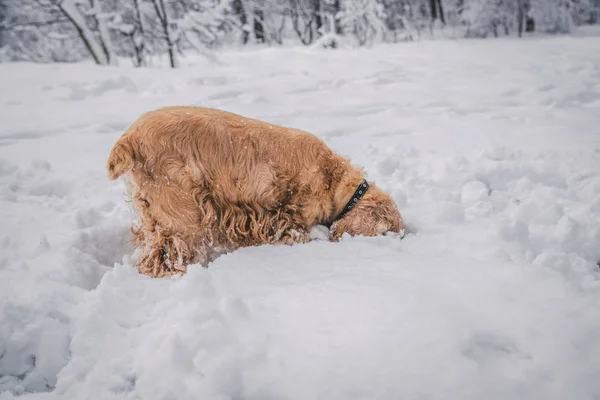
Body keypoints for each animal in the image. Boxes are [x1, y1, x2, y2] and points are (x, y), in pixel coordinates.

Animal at [109, 104, 404, 276]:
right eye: (386, 231)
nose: (401, 240)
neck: (333, 178)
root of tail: (129, 138)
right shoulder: (286, 213)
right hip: (179, 210)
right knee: (165, 256)